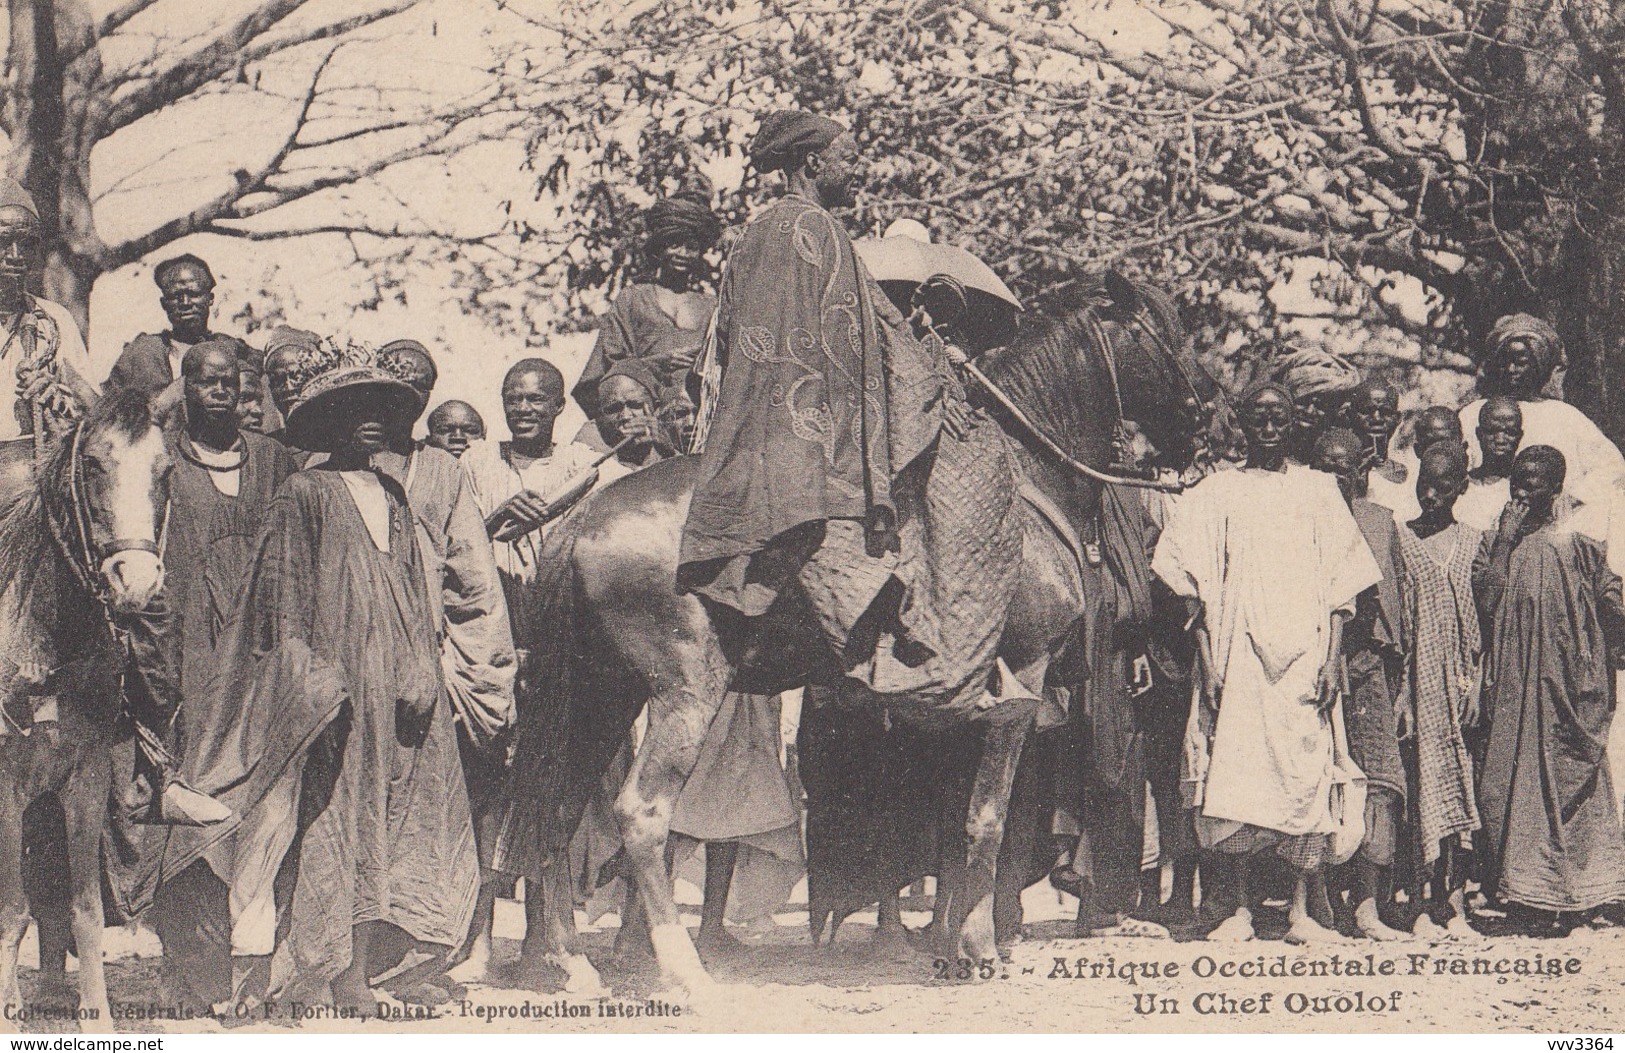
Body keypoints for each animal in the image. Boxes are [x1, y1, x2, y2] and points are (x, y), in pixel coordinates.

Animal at [0, 393, 169, 1027]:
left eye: (164, 471)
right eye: (94, 464)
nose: (136, 581)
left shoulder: (84, 779)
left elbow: (85, 910)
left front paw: (95, 1011)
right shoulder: (8, 787)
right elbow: (12, 907)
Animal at [500, 277, 1222, 994]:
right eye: (1164, 332)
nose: (1209, 414)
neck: (1024, 480)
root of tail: (587, 514)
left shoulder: (957, 706)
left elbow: (951, 818)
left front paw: (949, 941)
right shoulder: (1024, 674)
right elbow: (989, 819)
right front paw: (981, 947)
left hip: (599, 694)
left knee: (554, 809)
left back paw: (570, 959)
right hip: (683, 690)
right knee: (641, 812)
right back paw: (683, 970)